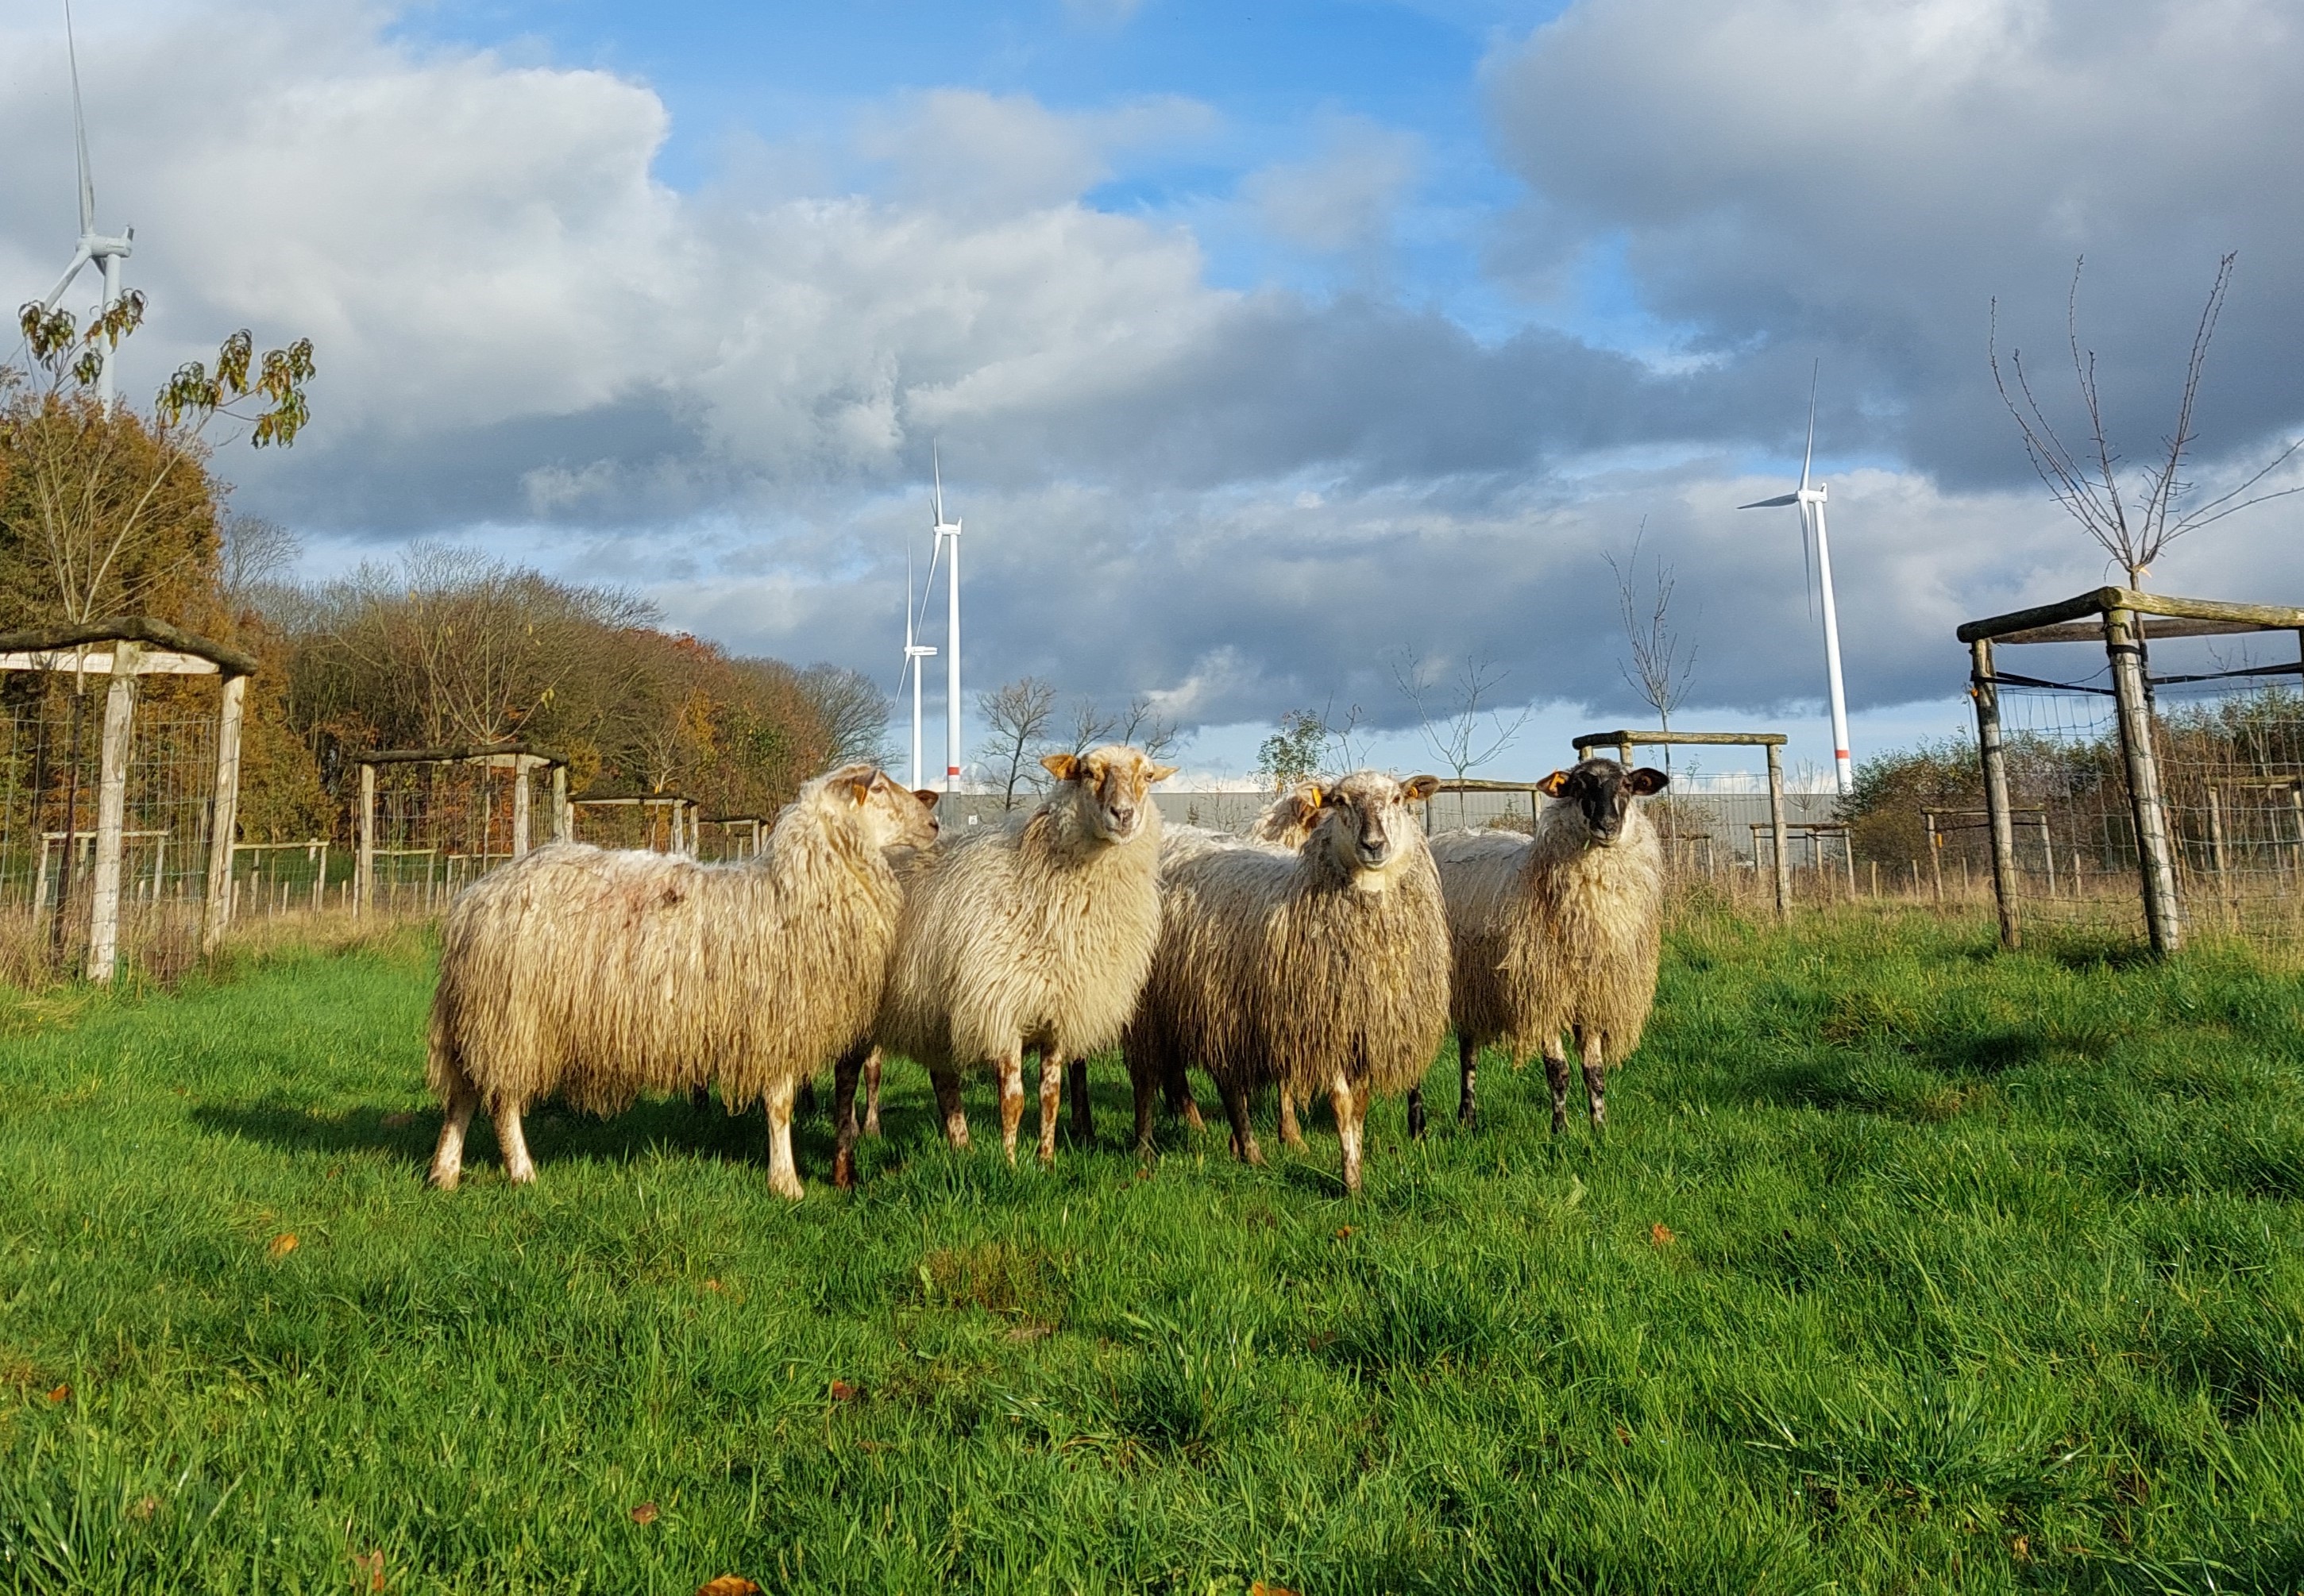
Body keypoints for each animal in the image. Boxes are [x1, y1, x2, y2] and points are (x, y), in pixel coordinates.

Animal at [428, 764, 940, 1197]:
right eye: (878, 788)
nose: (935, 825)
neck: (796, 895)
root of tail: (474, 897)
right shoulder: (772, 1028)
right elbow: (780, 1106)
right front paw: (786, 1183)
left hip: (481, 1016)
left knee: (463, 1096)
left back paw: (445, 1173)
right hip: (513, 1017)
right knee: (501, 1101)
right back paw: (522, 1171)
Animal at [843, 741, 1179, 1174]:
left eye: (1148, 776)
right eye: (1087, 772)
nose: (1123, 815)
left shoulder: (1057, 1017)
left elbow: (1051, 1096)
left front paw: (1047, 1161)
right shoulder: (1001, 1009)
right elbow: (1013, 1100)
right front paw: (1011, 1165)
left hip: (930, 1012)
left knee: (938, 1078)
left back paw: (961, 1147)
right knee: (861, 1071)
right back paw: (861, 1131)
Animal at [1124, 773, 1446, 1197]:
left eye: (1397, 798)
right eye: (1339, 802)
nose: (1374, 845)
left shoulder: (1361, 1029)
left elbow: (1358, 1106)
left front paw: (1353, 1171)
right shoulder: (1321, 1027)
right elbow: (1341, 1104)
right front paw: (1349, 1183)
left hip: (1218, 1007)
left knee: (1225, 1082)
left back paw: (1244, 1150)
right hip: (1148, 1007)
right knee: (1145, 1078)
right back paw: (1145, 1150)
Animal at [1428, 755, 1668, 1128]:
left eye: (1627, 786)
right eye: (1578, 787)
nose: (1607, 827)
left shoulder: (1591, 998)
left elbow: (1594, 1072)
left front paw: (1600, 1128)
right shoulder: (1542, 994)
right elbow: (1558, 1071)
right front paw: (1560, 1130)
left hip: (1472, 986)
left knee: (1468, 1050)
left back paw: (1467, 1117)